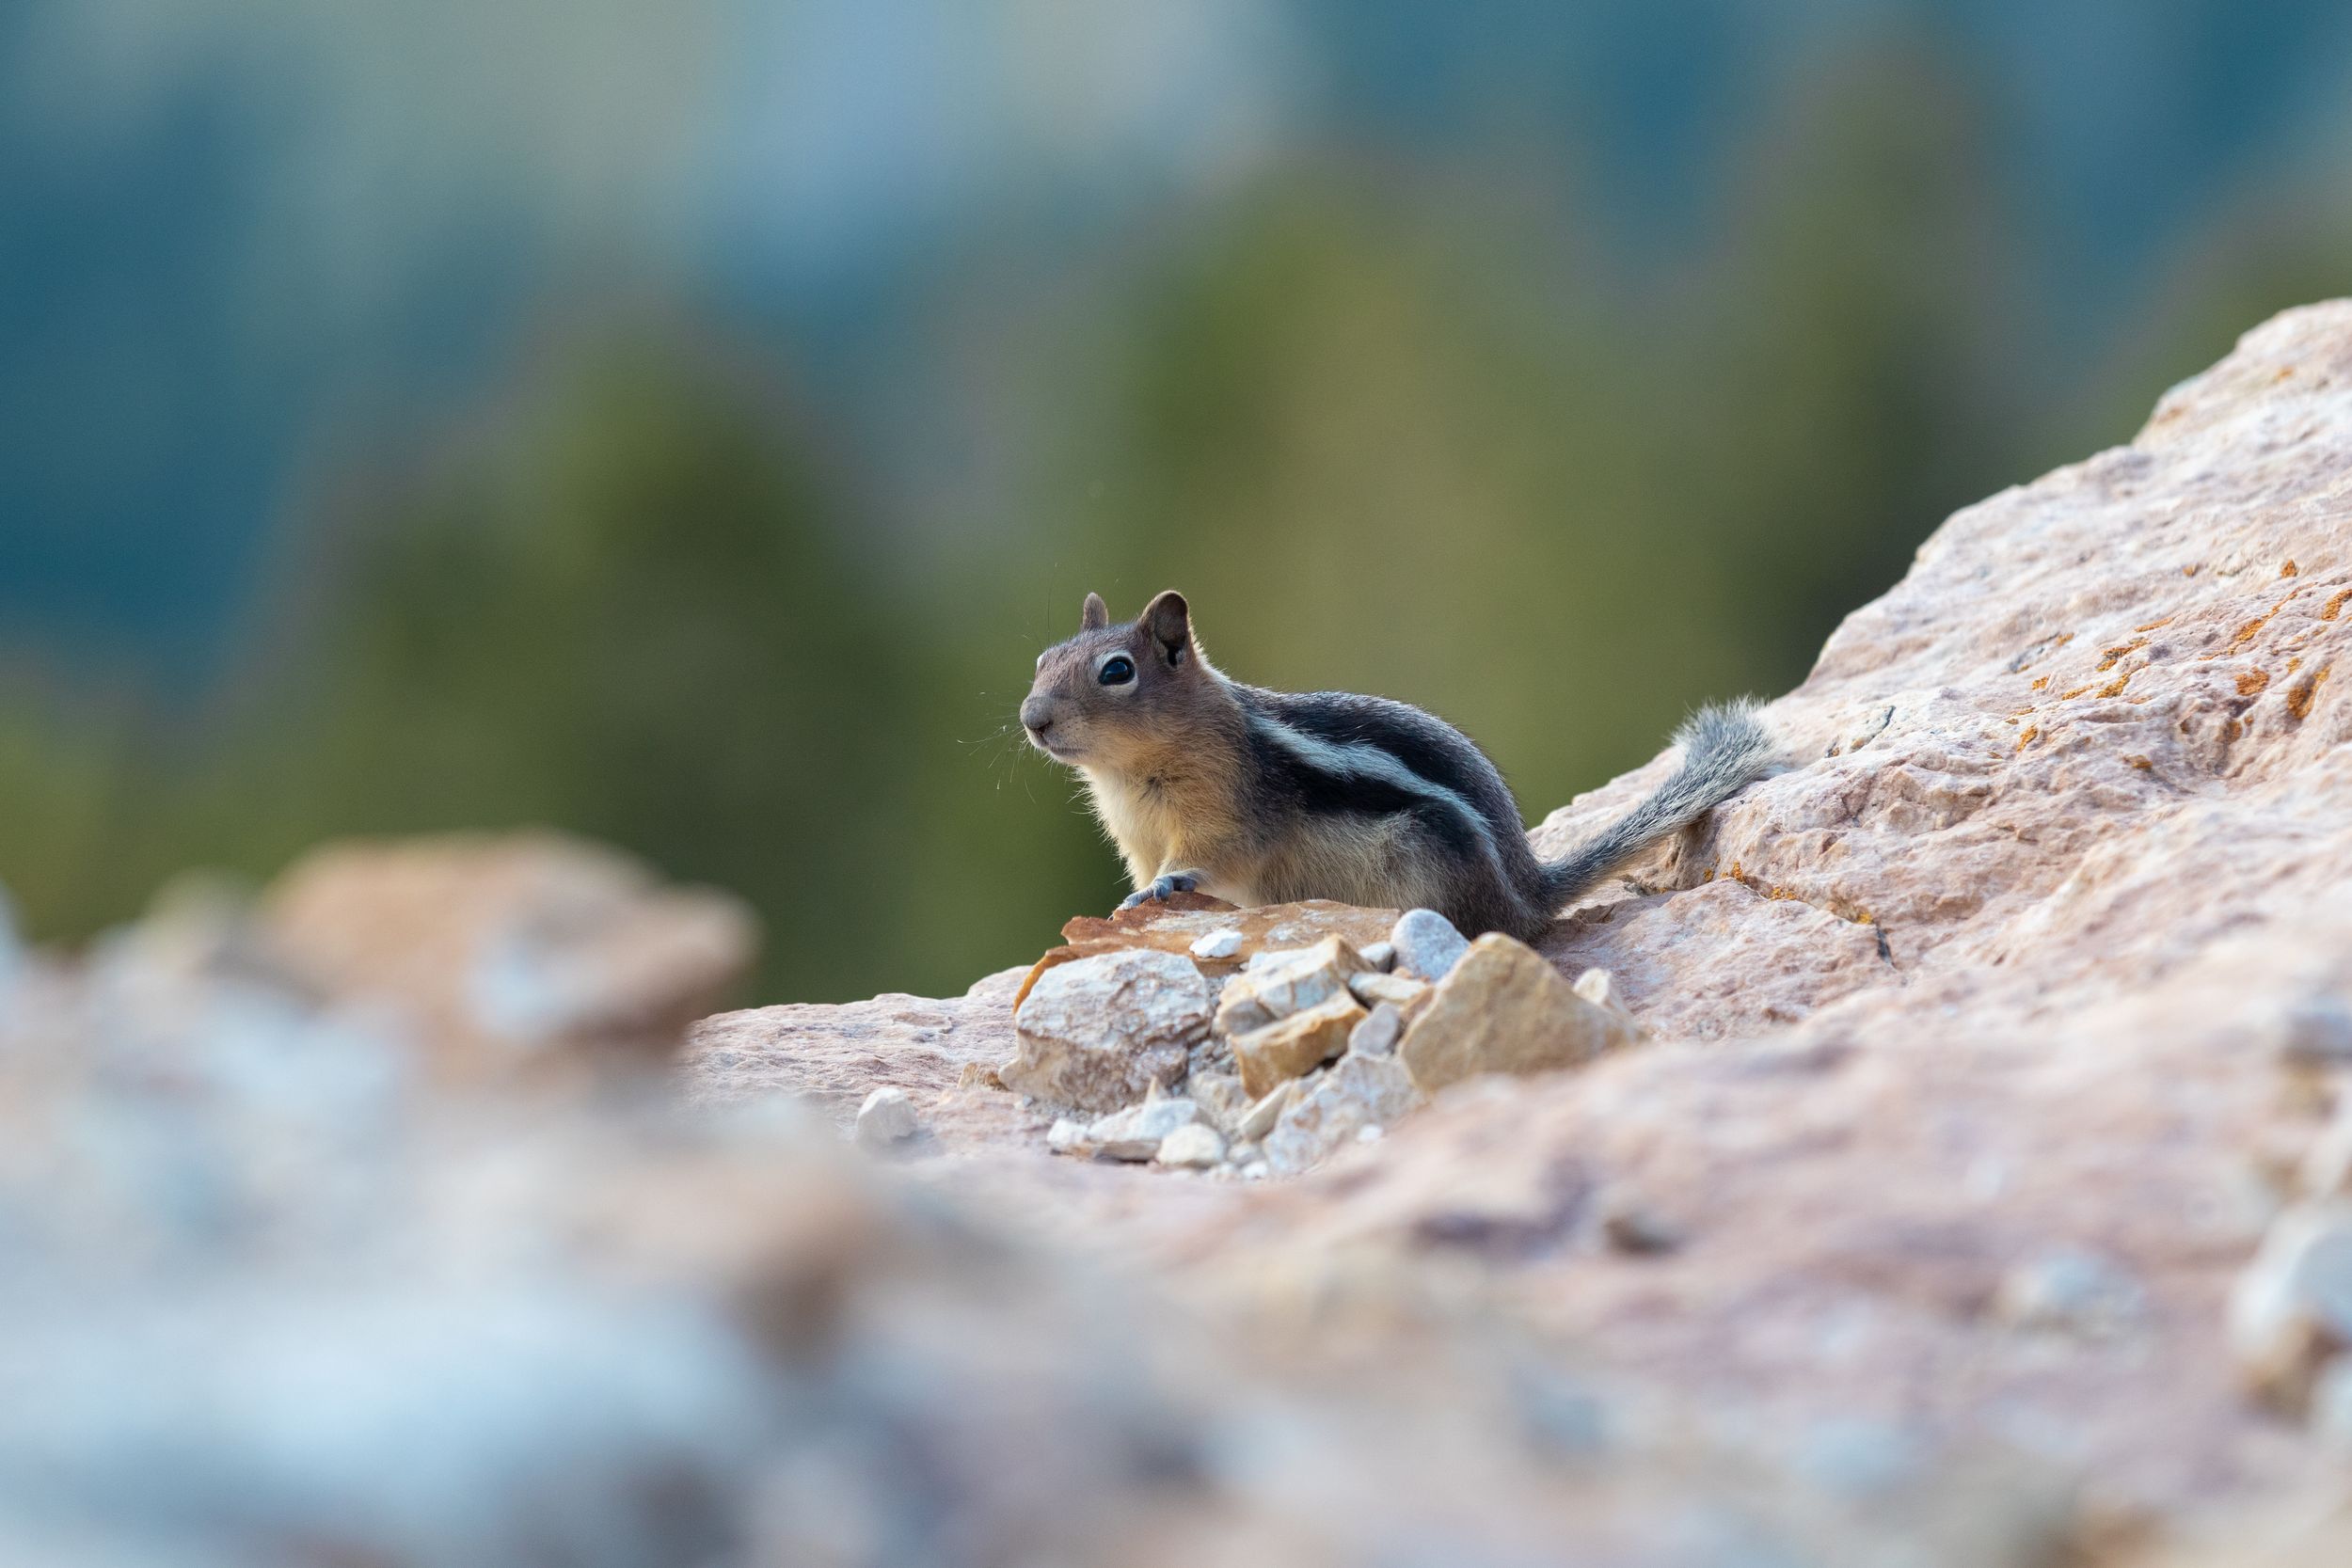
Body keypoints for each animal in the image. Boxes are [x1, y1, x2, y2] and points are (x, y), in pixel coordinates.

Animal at [1018, 589, 1775, 943]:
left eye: (1117, 671)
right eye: (1041, 660)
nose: (1032, 718)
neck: (1129, 778)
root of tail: (1528, 891)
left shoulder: (1225, 809)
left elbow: (1211, 855)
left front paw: (1168, 886)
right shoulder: (1137, 838)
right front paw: (1133, 903)